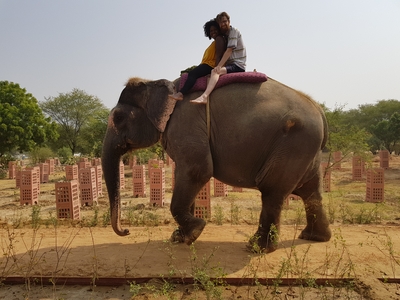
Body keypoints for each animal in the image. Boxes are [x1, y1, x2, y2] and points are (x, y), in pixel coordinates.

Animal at [102, 75, 332, 253]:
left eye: (119, 117)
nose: (126, 231)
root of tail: (319, 110)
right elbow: (186, 175)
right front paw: (180, 237)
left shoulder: (185, 124)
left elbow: (198, 170)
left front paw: (195, 231)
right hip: (305, 148)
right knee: (310, 191)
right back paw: (313, 237)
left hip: (294, 143)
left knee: (272, 190)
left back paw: (256, 248)